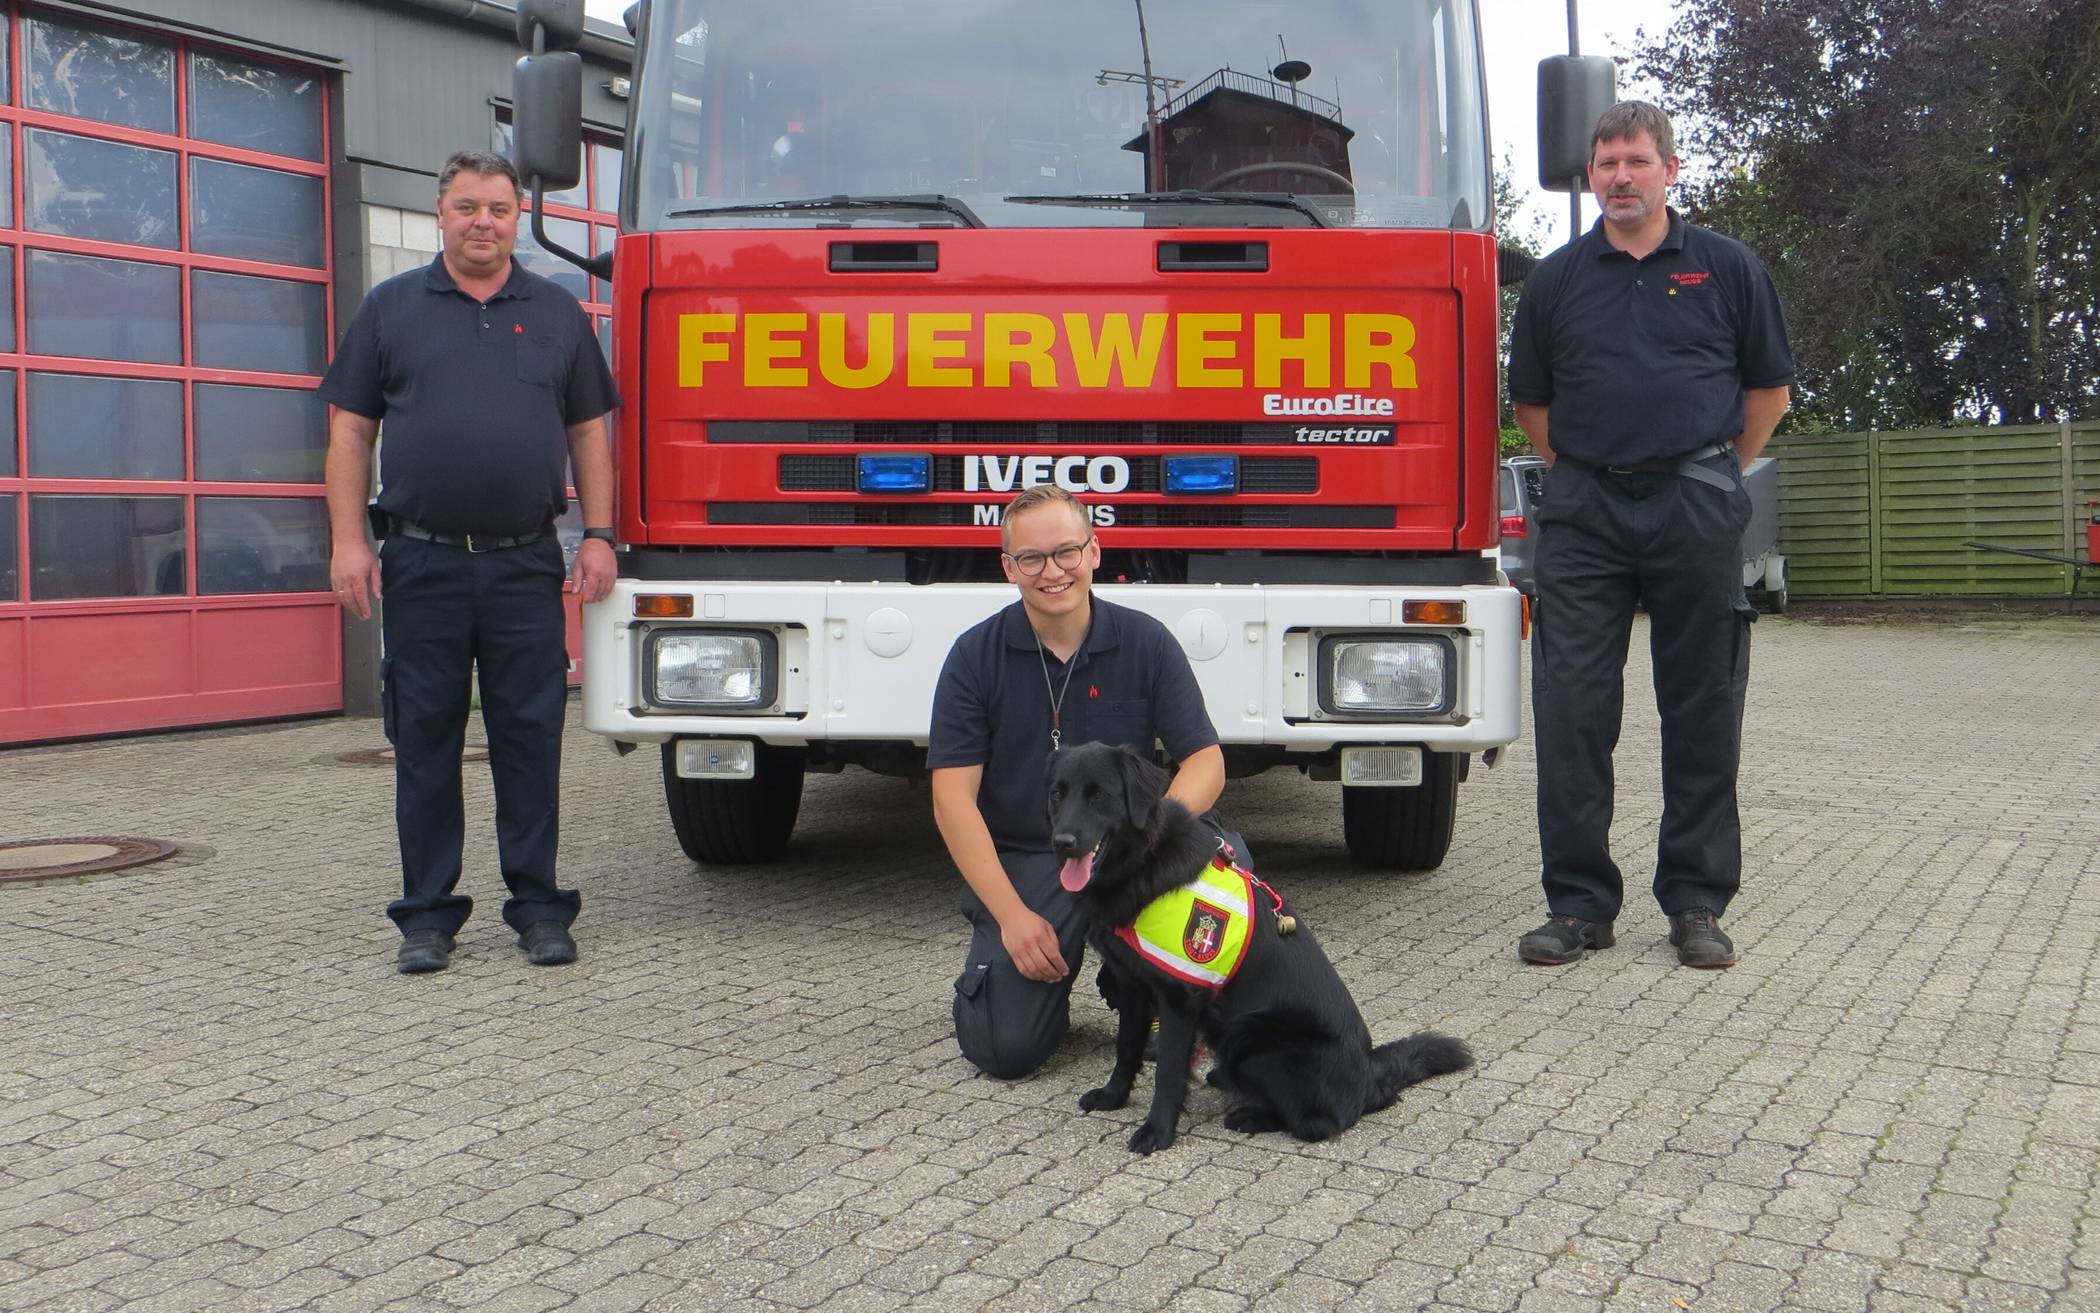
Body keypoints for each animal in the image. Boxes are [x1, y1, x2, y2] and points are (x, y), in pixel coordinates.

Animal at [1050, 743, 1478, 1151]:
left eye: (1099, 795)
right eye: (1057, 793)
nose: (1062, 842)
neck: (1143, 861)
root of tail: (1370, 1071)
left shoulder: (1180, 1000)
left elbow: (1168, 1071)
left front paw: (1157, 1132)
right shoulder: (1132, 985)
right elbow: (1126, 1049)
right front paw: (1113, 1097)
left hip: (1254, 1039)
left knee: (1320, 1122)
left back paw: (1251, 1115)